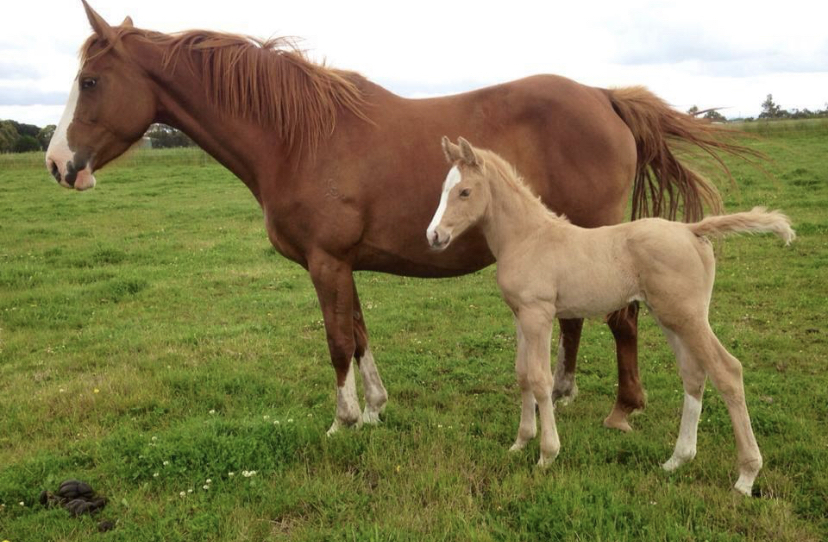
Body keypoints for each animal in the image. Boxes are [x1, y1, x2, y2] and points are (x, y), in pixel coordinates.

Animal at [46, 1, 757, 435]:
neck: (296, 136)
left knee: (622, 320)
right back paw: (562, 390)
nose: (57, 163)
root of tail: (603, 97)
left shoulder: (326, 264)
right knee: (581, 319)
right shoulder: (341, 264)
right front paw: (376, 409)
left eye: (90, 82)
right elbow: (360, 335)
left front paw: (343, 420)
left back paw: (622, 409)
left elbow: (338, 341)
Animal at [428, 136, 794, 495]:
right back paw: (677, 460)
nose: (434, 236)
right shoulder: (520, 314)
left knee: (727, 371)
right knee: (693, 374)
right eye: (443, 188)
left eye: (465, 192)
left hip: (689, 317)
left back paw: (746, 476)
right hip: (670, 318)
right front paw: (520, 442)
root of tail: (692, 230)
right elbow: (522, 375)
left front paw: (547, 454)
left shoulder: (538, 313)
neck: (528, 238)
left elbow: (541, 380)